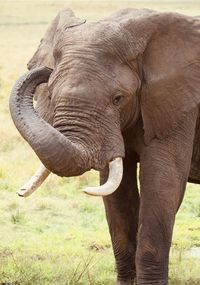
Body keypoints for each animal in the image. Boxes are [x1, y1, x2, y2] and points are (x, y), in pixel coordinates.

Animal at [10, 8, 200, 284]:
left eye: (118, 98)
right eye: (51, 94)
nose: (43, 71)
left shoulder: (178, 104)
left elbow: (162, 184)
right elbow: (116, 193)